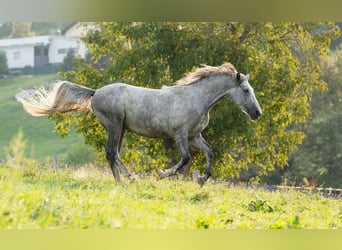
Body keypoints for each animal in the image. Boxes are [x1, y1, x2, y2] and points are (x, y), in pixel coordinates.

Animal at [18, 61, 262, 185]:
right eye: (245, 90)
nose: (257, 113)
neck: (196, 98)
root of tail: (96, 92)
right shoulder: (180, 135)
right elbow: (185, 159)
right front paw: (161, 174)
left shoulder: (194, 136)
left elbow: (209, 152)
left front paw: (202, 178)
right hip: (115, 126)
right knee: (112, 152)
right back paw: (130, 178)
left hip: (121, 129)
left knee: (112, 154)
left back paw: (121, 182)